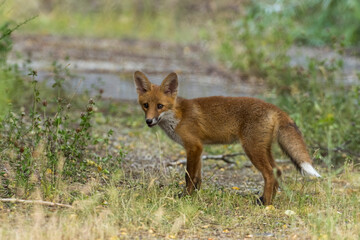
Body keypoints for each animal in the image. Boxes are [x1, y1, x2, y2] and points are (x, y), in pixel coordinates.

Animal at [133, 70, 320, 205]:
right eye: (146, 105)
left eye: (160, 106)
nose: (149, 121)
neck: (178, 116)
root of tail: (274, 107)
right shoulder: (199, 148)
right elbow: (197, 177)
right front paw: (195, 196)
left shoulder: (193, 146)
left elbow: (189, 176)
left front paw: (185, 196)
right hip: (263, 149)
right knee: (277, 171)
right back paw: (266, 200)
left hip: (251, 149)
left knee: (269, 173)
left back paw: (265, 203)